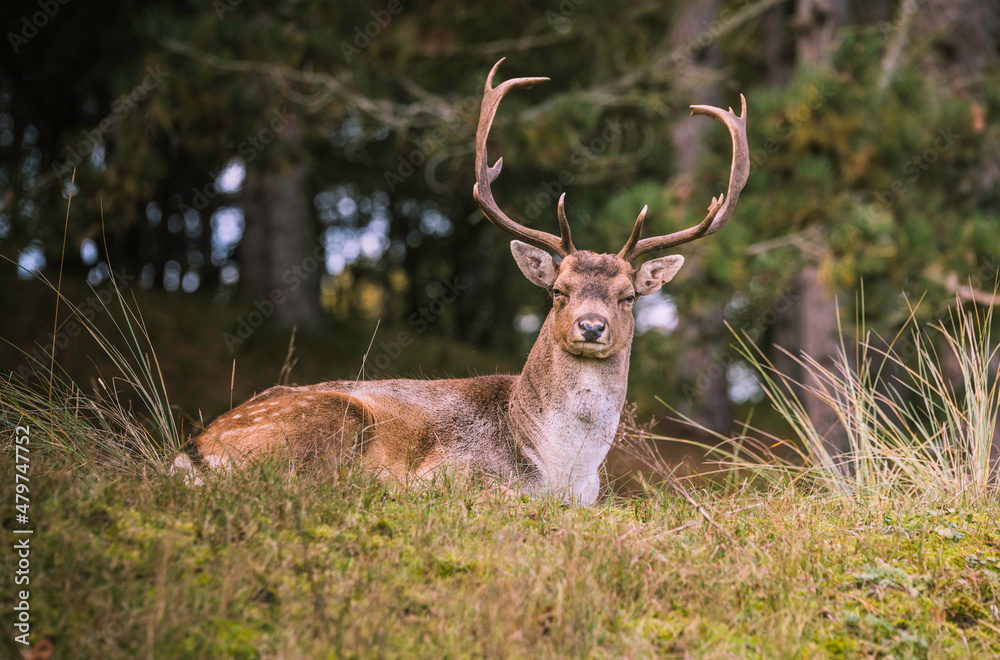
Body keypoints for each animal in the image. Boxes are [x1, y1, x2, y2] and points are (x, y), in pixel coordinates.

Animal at [174, 59, 749, 504]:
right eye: (557, 291)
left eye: (628, 297)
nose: (591, 326)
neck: (562, 469)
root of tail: (194, 450)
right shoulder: (455, 474)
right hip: (328, 422)